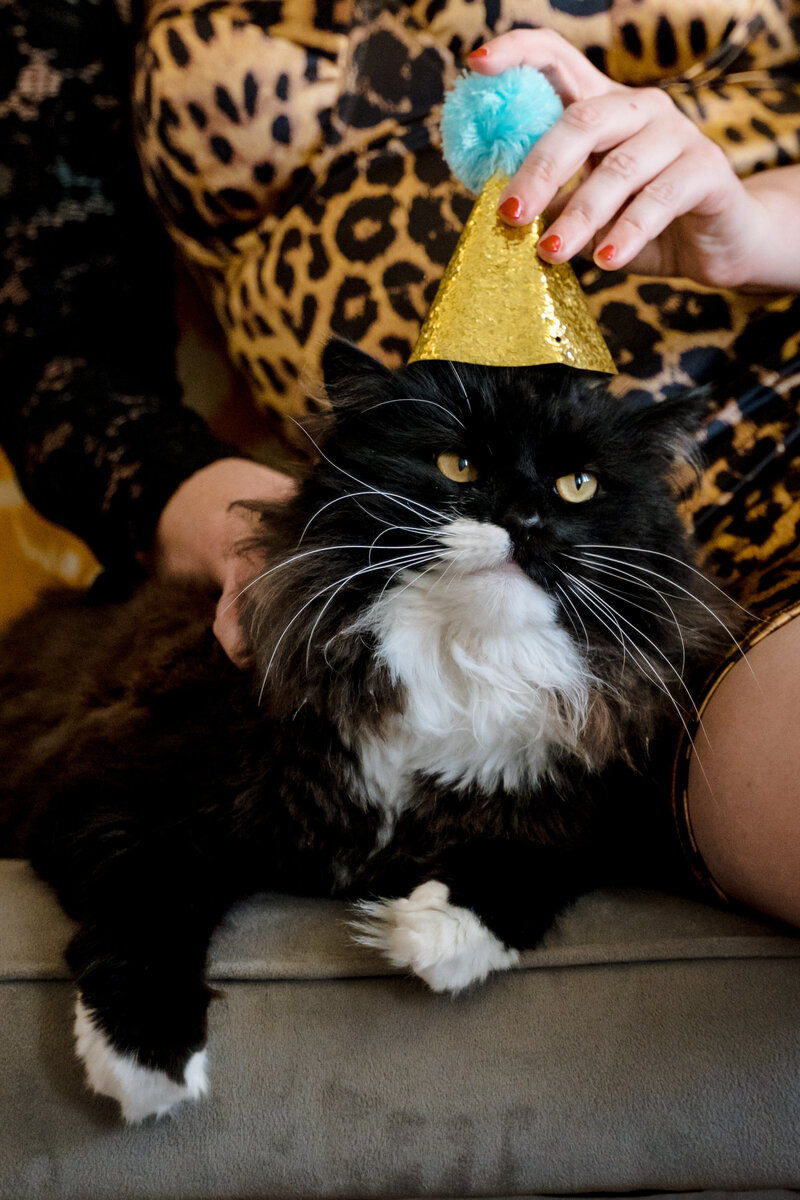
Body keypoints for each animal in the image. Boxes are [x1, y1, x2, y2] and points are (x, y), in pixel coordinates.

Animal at [0, 340, 734, 1123]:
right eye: (458, 466)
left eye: (578, 485)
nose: (526, 519)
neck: (458, 661)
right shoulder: (109, 802)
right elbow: (150, 908)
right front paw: (145, 1060)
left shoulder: (612, 811)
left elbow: (538, 862)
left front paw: (430, 932)